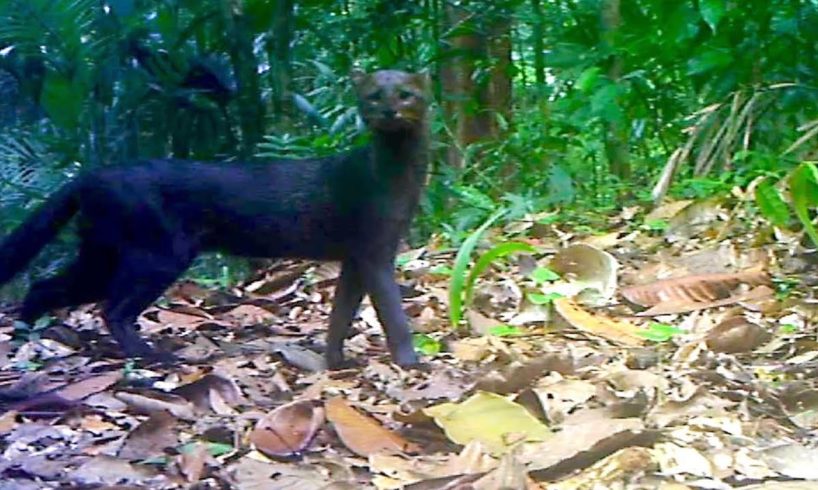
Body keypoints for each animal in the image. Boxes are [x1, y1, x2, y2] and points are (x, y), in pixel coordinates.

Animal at [0, 68, 430, 368]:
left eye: (406, 94)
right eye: (374, 96)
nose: (390, 109)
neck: (395, 177)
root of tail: (89, 176)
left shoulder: (356, 256)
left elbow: (341, 313)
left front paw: (336, 361)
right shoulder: (374, 250)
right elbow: (392, 312)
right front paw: (411, 362)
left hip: (101, 252)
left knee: (44, 286)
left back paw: (31, 337)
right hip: (157, 254)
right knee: (113, 309)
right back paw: (156, 356)